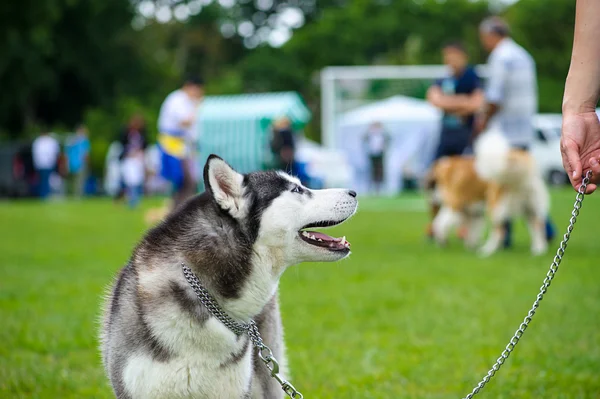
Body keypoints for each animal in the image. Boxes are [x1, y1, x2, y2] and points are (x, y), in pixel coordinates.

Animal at [428, 130, 552, 258]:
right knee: (538, 227)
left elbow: (440, 223)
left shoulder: (454, 205)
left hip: (495, 206)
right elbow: (472, 231)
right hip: (530, 209)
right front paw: (470, 246)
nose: (433, 198)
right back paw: (538, 250)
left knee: (499, 231)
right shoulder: (474, 213)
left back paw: (487, 251)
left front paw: (441, 242)